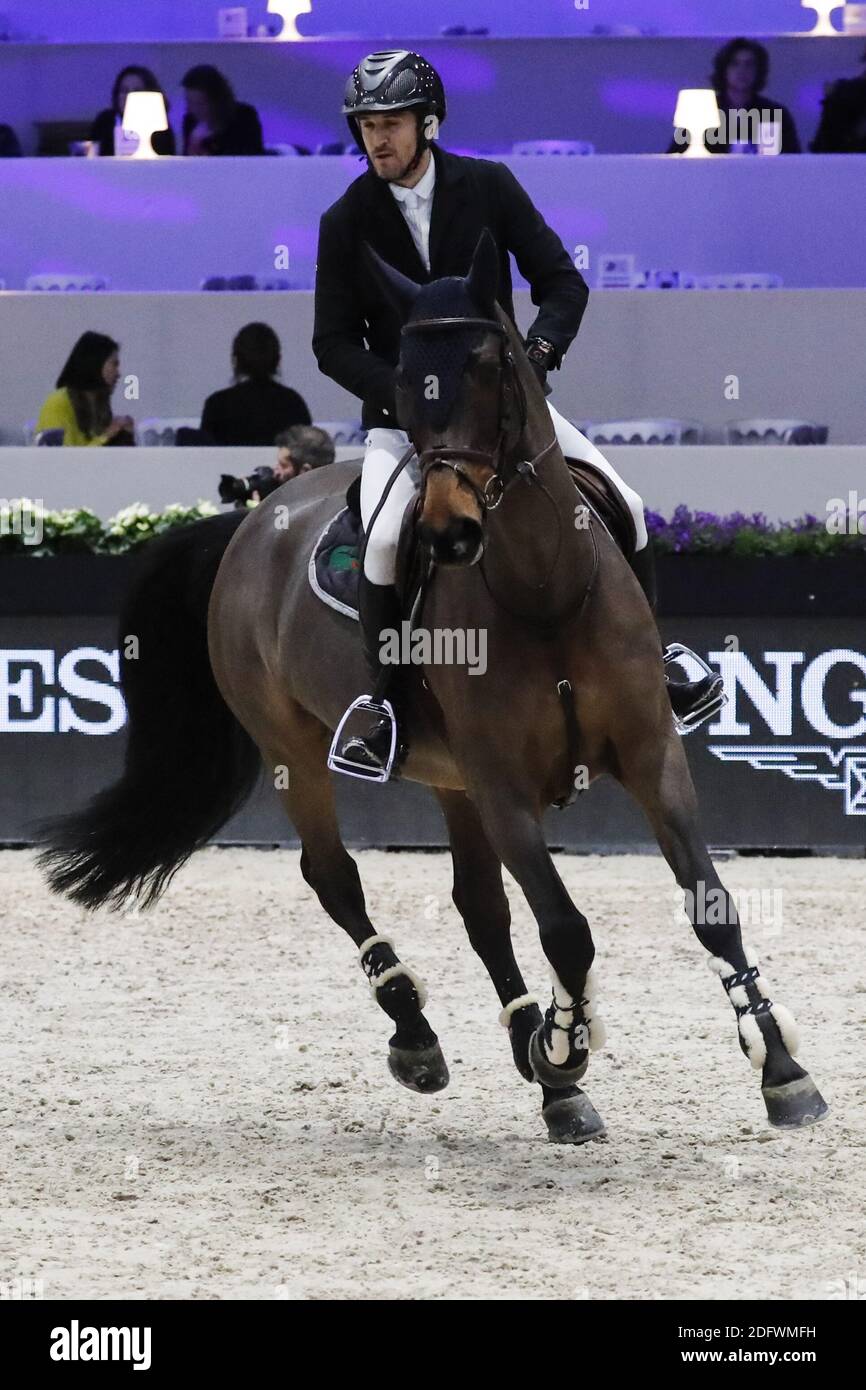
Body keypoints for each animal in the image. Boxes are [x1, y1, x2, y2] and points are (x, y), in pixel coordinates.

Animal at [37, 227, 828, 1139]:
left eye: (493, 367)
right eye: (406, 384)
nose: (449, 532)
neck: (542, 591)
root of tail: (249, 519)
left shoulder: (650, 754)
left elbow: (710, 904)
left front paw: (780, 1068)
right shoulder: (502, 783)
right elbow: (566, 929)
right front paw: (569, 1046)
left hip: (450, 779)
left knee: (478, 905)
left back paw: (536, 1060)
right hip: (298, 750)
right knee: (335, 879)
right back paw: (424, 1036)